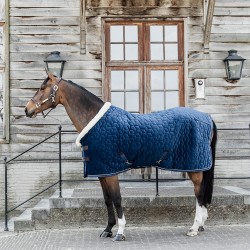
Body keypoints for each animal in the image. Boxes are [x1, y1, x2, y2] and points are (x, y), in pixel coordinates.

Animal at [24, 72, 217, 240]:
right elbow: (107, 199)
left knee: (199, 194)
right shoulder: (102, 171)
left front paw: (120, 231)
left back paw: (194, 227)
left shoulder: (112, 171)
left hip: (194, 168)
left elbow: (117, 198)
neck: (96, 122)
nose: (27, 109)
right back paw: (201, 224)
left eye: (42, 88)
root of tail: (206, 117)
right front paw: (108, 229)